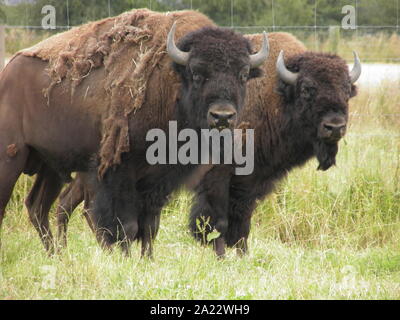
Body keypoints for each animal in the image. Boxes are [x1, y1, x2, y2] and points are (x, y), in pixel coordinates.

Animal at [0, 8, 268, 256]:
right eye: (197, 73)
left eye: (243, 74)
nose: (222, 116)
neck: (172, 81)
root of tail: (8, 69)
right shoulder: (121, 173)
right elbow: (126, 225)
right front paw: (126, 258)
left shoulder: (159, 179)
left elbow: (150, 225)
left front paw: (147, 259)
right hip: (13, 157)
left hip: (51, 166)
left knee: (38, 206)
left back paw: (57, 256)